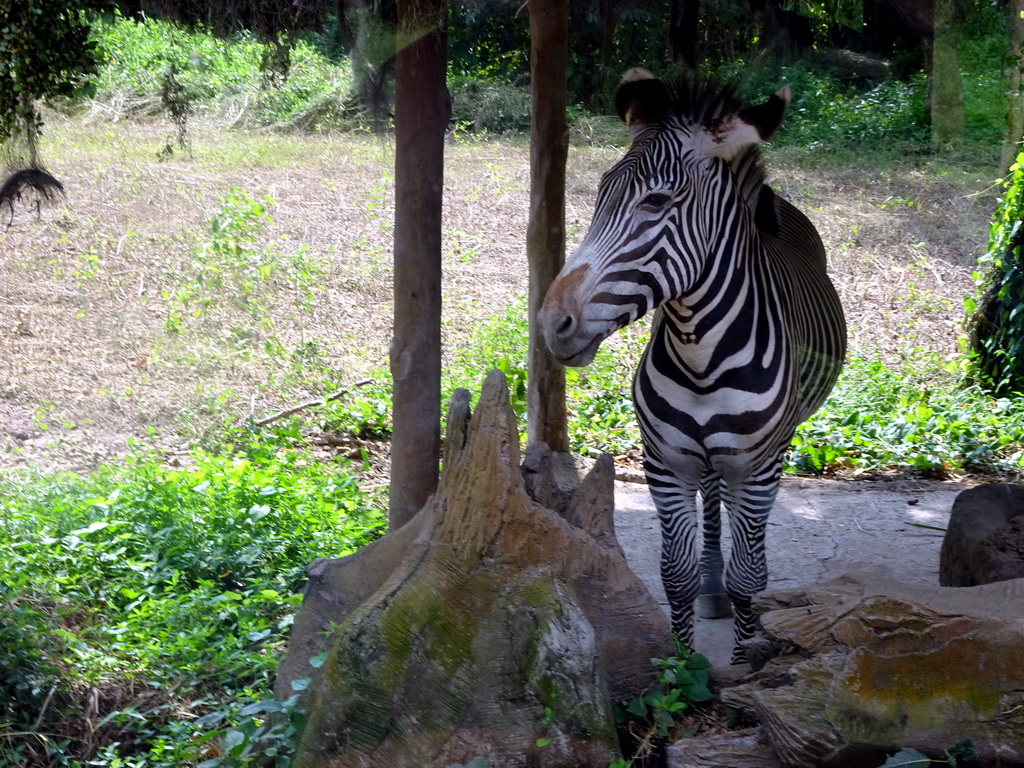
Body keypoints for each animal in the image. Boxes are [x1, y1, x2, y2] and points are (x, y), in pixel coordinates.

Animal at [540, 69, 843, 663]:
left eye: (657, 201)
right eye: (601, 195)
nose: (551, 323)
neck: (702, 359)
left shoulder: (758, 467)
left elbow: (751, 576)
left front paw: (746, 661)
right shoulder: (666, 461)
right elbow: (673, 574)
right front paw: (681, 664)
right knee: (711, 499)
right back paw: (711, 586)